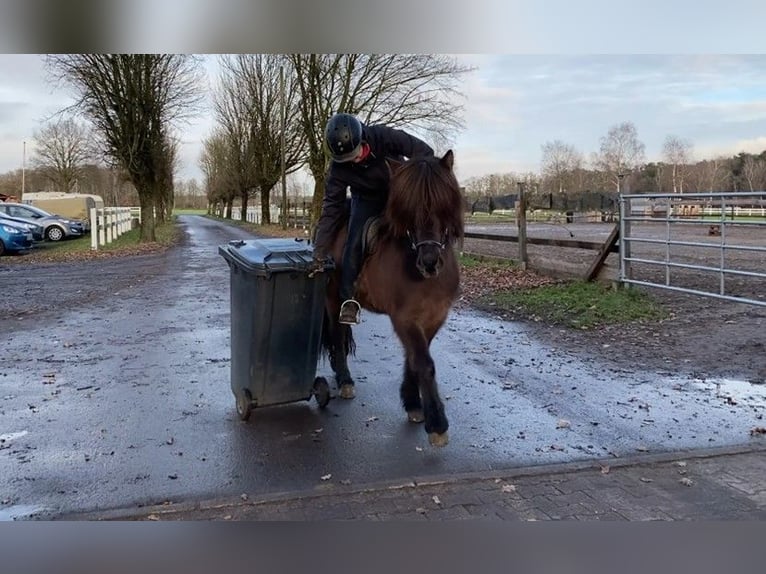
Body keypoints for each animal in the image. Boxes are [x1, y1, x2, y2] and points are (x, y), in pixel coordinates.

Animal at [321, 150, 464, 446]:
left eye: (444, 206)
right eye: (408, 211)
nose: (429, 262)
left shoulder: (433, 318)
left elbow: (414, 358)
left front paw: (413, 403)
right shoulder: (404, 318)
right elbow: (424, 363)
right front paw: (437, 423)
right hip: (332, 299)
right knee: (338, 338)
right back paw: (344, 380)